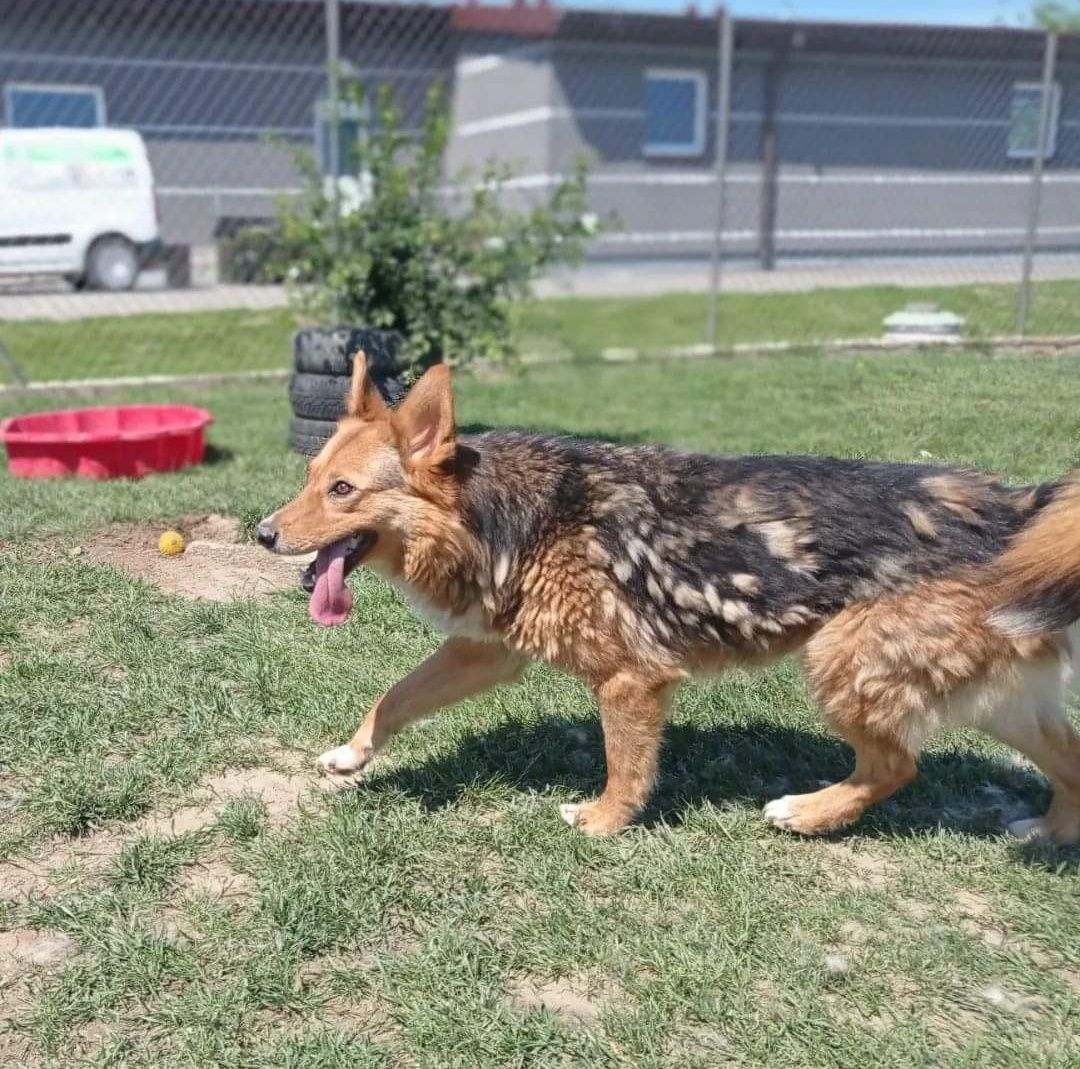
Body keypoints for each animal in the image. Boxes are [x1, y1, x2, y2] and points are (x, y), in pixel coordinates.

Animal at [259, 354, 1080, 846]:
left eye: (342, 491)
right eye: (310, 478)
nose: (263, 533)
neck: (503, 515)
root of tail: (1014, 508)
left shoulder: (631, 679)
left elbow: (625, 765)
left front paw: (603, 822)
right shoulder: (483, 652)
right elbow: (393, 697)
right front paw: (353, 753)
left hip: (841, 661)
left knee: (897, 767)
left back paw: (807, 812)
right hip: (995, 699)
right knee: (1067, 762)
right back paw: (1048, 832)